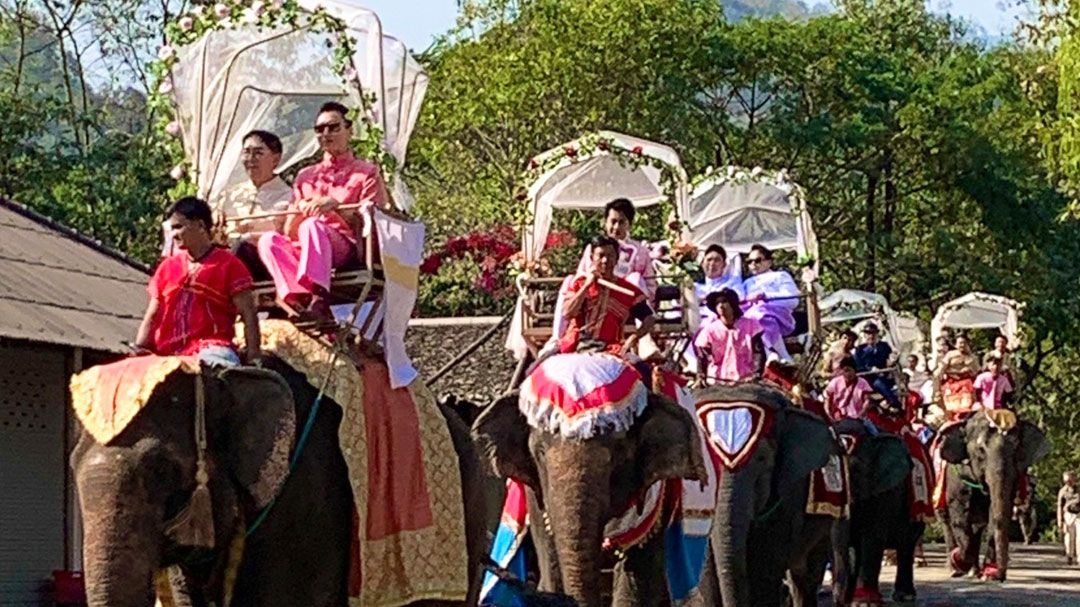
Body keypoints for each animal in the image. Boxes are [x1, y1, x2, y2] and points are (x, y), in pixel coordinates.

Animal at [937, 408, 1045, 578]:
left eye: (1016, 451)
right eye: (981, 450)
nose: (1001, 576)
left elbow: (995, 511)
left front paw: (989, 574)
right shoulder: (954, 474)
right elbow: (960, 514)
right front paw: (958, 560)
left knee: (977, 527)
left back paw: (974, 571)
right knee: (947, 520)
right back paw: (954, 569)